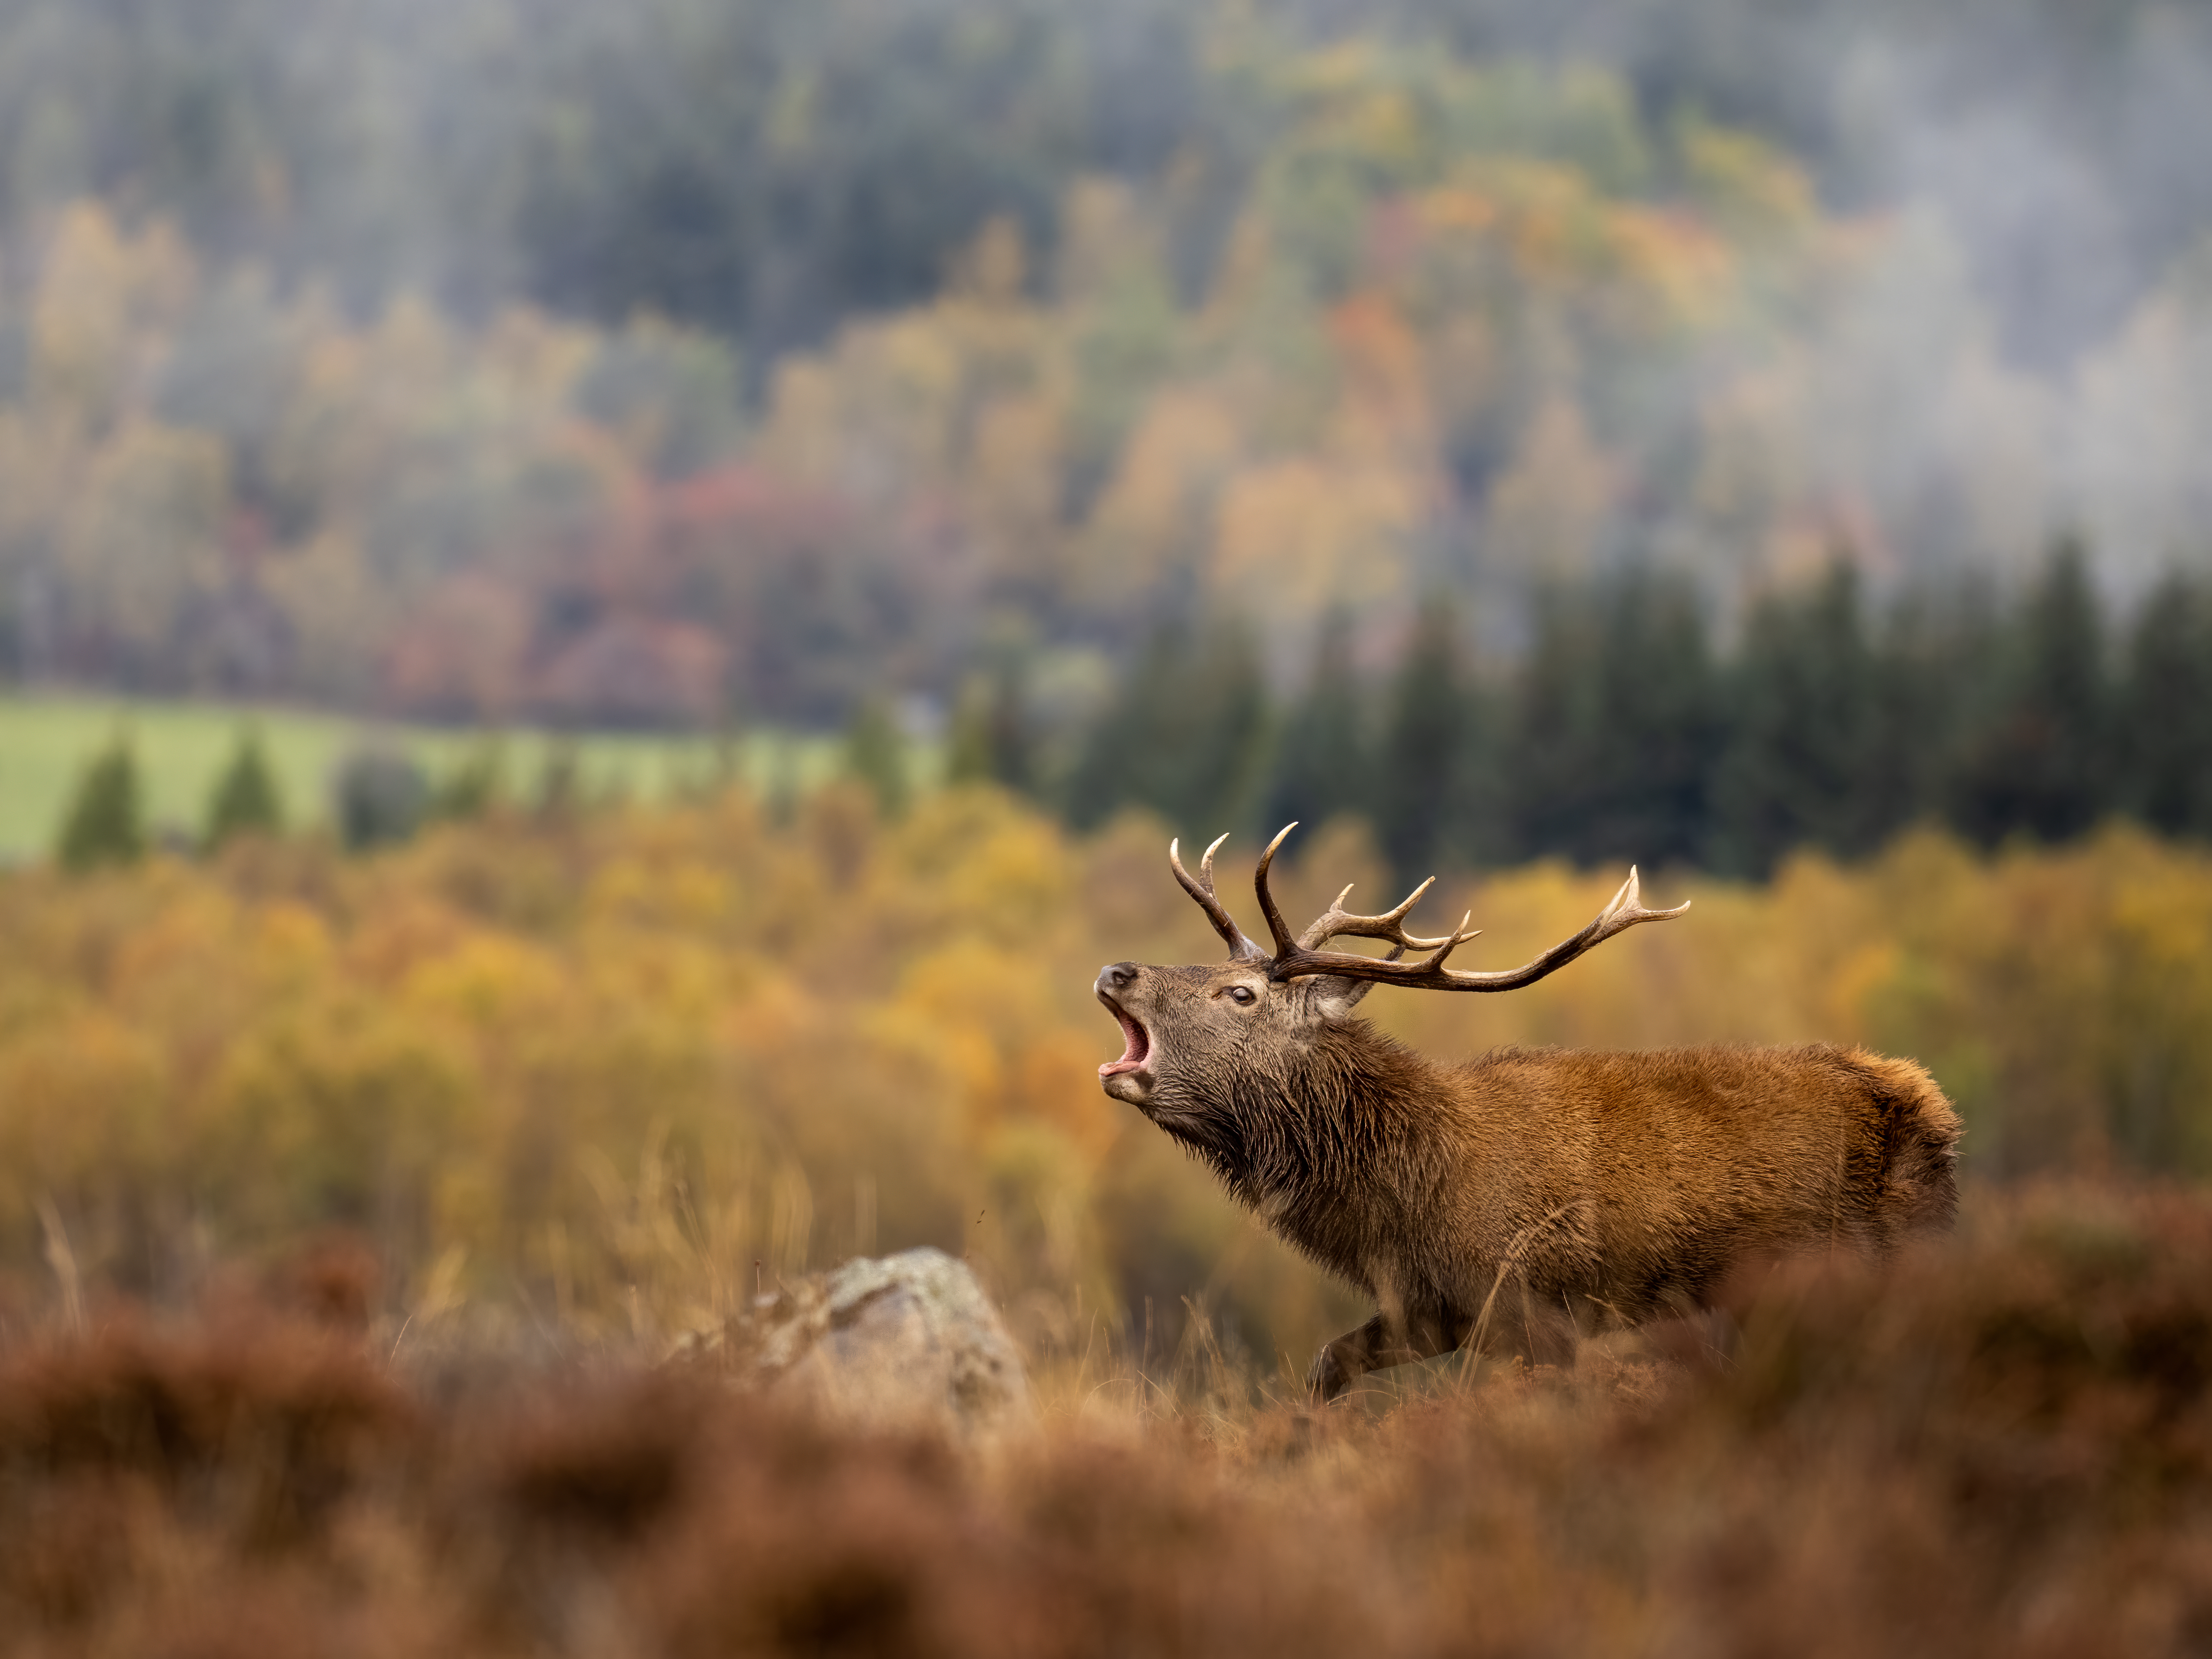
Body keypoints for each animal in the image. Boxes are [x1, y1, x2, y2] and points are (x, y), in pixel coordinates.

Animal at [1094, 824, 1962, 1403]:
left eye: (1239, 993)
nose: (1116, 969)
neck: (1405, 1200)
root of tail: (1935, 1109)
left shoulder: (1539, 1306)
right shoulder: (1430, 1311)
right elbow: (1324, 1369)